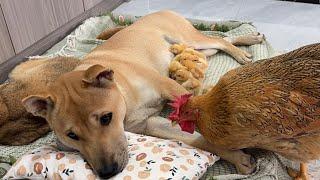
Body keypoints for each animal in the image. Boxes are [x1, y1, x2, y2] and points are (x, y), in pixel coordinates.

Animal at [21, 10, 262, 179]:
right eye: (71, 135)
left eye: (106, 118)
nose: (108, 172)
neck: (124, 96)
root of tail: (159, 11)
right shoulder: (151, 124)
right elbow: (198, 139)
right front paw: (237, 157)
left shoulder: (168, 87)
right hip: (196, 49)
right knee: (223, 41)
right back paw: (248, 41)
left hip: (188, 38)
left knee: (219, 39)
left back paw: (242, 51)